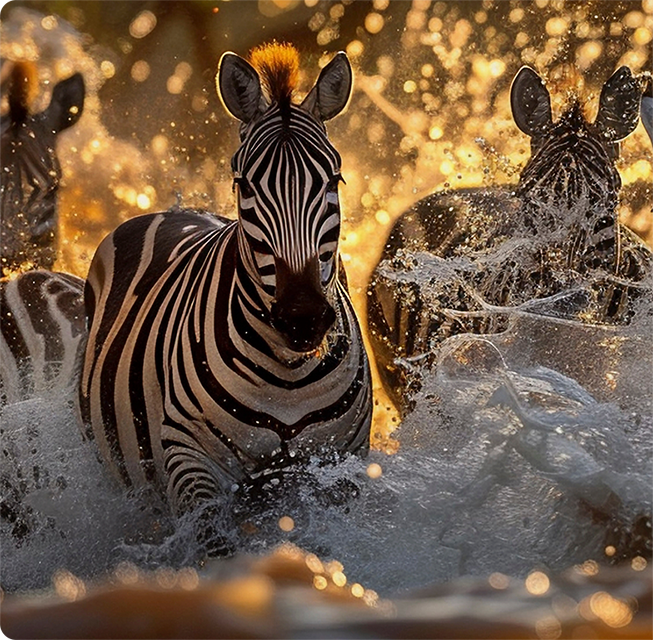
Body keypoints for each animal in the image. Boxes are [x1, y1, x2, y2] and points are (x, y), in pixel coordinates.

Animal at [79, 43, 372, 516]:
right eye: (244, 185)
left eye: (334, 180)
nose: (303, 317)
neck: (288, 378)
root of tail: (176, 209)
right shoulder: (187, 453)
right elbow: (208, 531)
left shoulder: (340, 463)